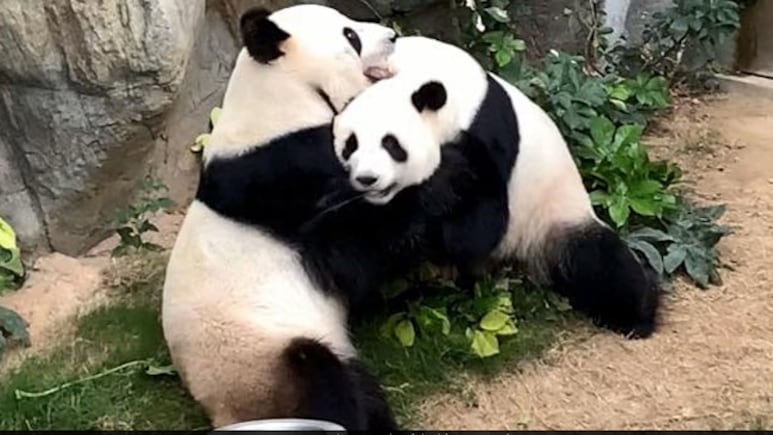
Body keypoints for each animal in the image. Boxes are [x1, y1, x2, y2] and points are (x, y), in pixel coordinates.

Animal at [161, 5, 398, 429]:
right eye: (351, 36)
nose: (393, 36)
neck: (282, 98)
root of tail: (223, 413)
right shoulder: (287, 173)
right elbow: (351, 255)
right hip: (261, 360)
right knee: (323, 378)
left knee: (361, 387)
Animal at [332, 36, 660, 339]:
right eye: (351, 145)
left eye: (391, 144)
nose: (367, 179)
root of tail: (515, 262)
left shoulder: (488, 133)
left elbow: (478, 229)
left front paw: (439, 186)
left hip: (553, 217)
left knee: (599, 262)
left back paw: (636, 317)